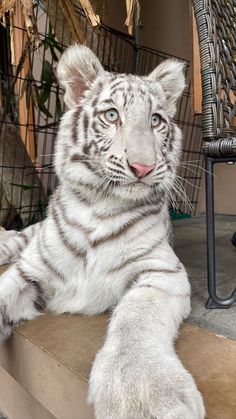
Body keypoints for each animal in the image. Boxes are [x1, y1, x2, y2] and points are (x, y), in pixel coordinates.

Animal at [0, 45, 205, 419]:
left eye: (156, 120)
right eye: (112, 115)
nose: (143, 167)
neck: (100, 206)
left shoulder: (161, 271)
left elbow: (136, 317)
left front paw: (141, 393)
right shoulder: (28, 270)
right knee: (17, 238)